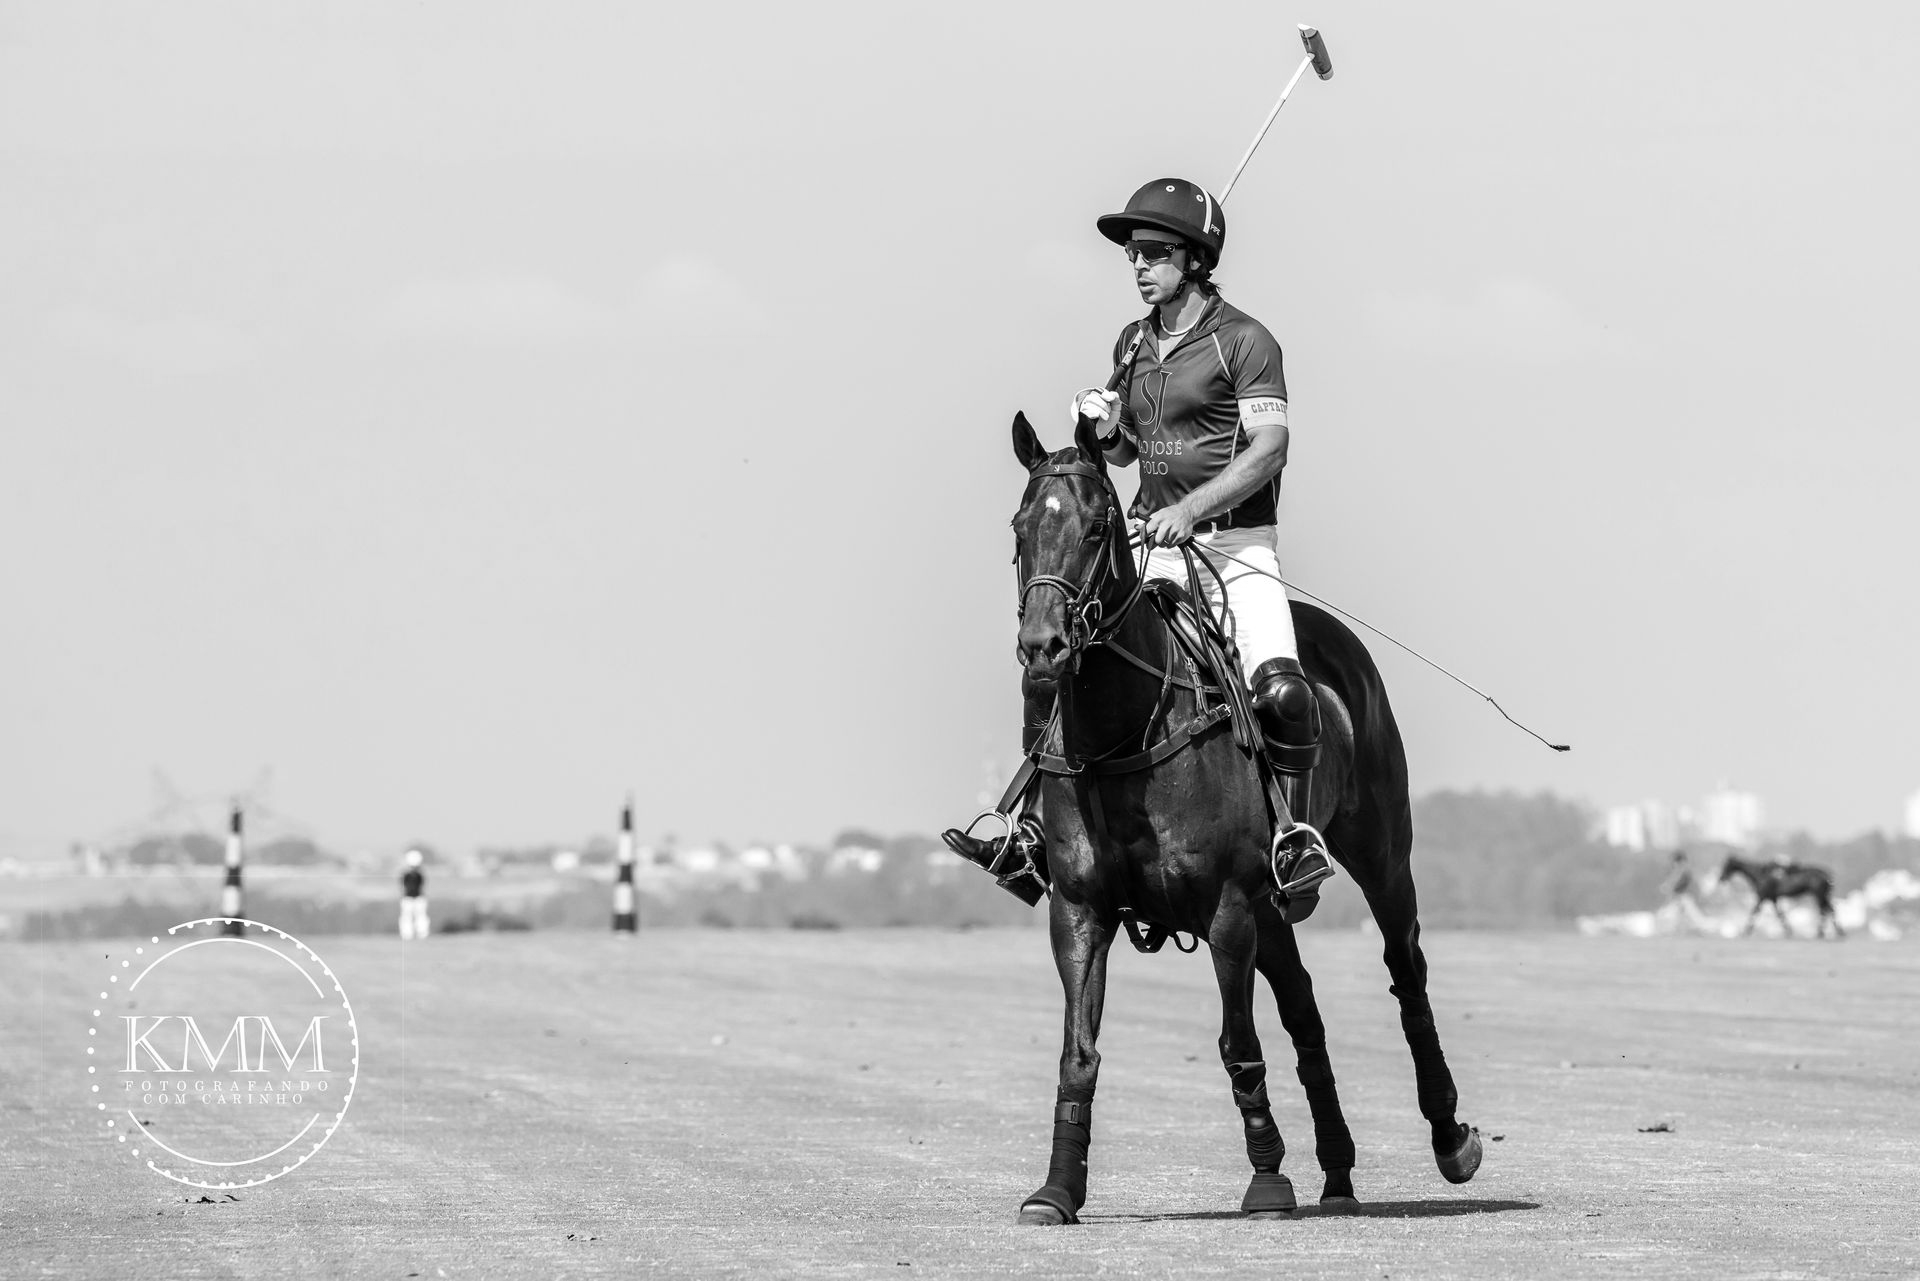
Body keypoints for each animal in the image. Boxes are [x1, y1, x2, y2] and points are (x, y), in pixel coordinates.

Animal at [1003, 411, 1480, 1225]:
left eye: (1098, 526)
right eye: (1019, 526)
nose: (1044, 647)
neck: (1122, 733)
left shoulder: (1225, 906)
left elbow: (1238, 1044)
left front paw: (1266, 1181)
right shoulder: (1080, 909)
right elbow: (1079, 1051)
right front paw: (1057, 1188)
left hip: (1380, 854)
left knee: (1406, 970)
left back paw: (1450, 1138)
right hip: (1271, 906)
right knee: (1307, 1011)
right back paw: (1338, 1172)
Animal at [1717, 855, 1845, 939]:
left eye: (1727, 865)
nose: (1721, 878)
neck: (1760, 874)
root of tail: (1825, 874)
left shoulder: (1763, 897)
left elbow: (1755, 912)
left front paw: (1745, 931)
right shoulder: (1773, 898)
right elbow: (1780, 914)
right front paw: (1788, 931)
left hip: (1818, 895)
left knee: (1825, 910)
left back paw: (1822, 932)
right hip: (1822, 896)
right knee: (1829, 910)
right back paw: (1835, 931)